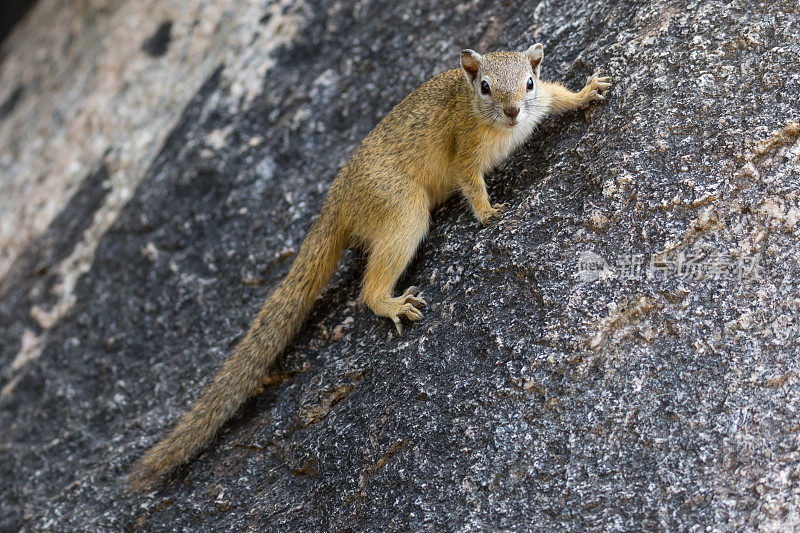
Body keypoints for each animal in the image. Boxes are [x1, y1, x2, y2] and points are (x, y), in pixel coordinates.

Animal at [128, 43, 608, 488]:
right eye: (485, 87)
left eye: (528, 82)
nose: (511, 112)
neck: (486, 115)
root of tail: (335, 205)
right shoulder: (465, 153)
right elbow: (471, 184)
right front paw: (489, 213)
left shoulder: (540, 102)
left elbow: (559, 96)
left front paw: (587, 91)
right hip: (404, 211)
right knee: (367, 288)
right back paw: (390, 303)